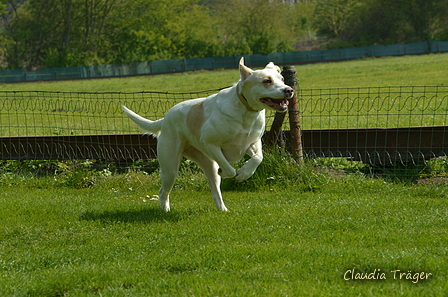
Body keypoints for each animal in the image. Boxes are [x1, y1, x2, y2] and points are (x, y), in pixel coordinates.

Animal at [122, 57, 294, 210]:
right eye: (267, 81)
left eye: (282, 79)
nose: (289, 90)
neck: (246, 111)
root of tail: (164, 119)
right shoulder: (211, 144)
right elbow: (230, 170)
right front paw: (231, 173)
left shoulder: (252, 143)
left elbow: (258, 158)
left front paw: (244, 174)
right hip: (170, 167)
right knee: (163, 191)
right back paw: (165, 209)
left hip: (206, 163)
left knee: (215, 190)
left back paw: (223, 209)